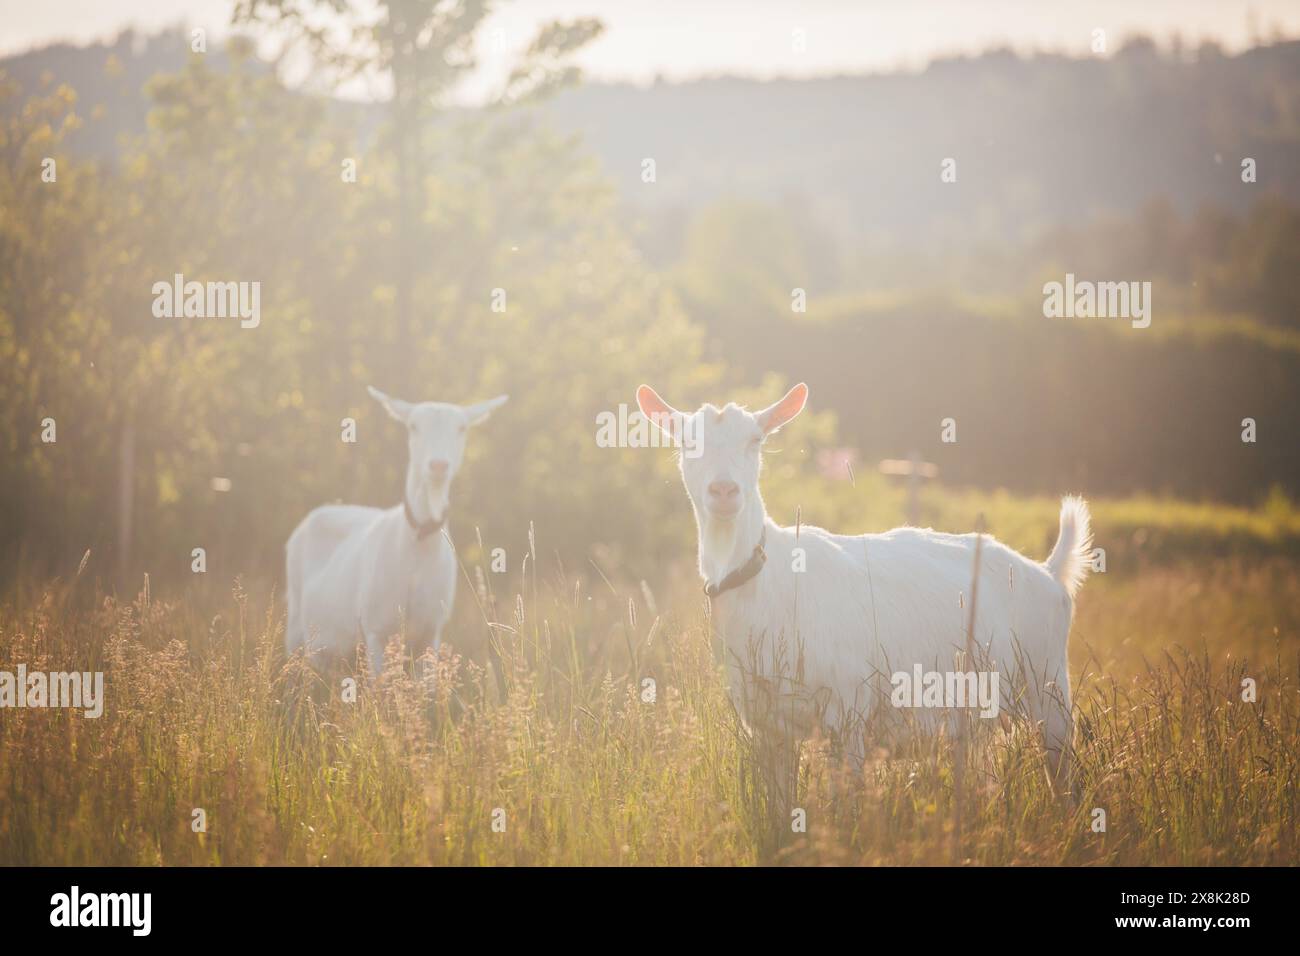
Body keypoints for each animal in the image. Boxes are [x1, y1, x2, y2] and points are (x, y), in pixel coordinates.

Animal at [285, 387, 507, 672]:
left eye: (462, 428)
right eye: (413, 426)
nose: (438, 465)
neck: (417, 545)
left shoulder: (430, 631)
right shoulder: (375, 629)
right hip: (296, 625)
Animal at [636, 382, 1090, 795]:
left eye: (756, 440)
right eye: (686, 441)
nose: (724, 490)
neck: (770, 580)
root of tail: (1048, 573)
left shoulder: (848, 714)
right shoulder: (768, 729)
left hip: (1049, 689)